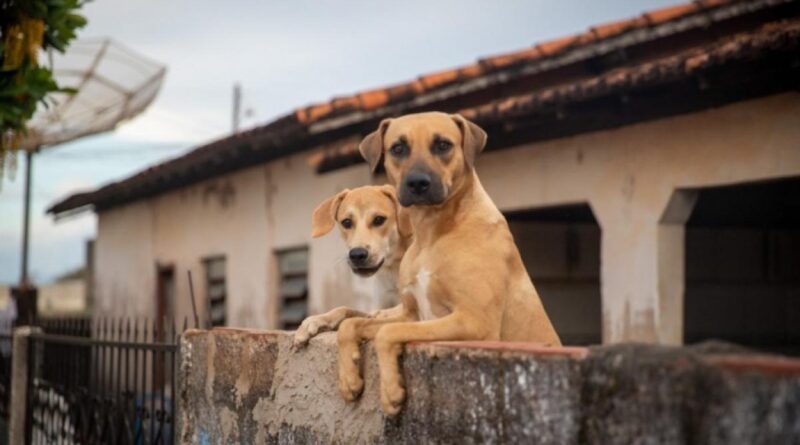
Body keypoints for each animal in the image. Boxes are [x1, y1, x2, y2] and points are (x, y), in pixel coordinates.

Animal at [336, 112, 561, 415]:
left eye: (443, 145)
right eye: (398, 148)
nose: (418, 183)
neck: (431, 232)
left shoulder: (474, 321)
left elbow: (386, 331)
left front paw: (391, 390)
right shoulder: (411, 313)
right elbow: (351, 325)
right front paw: (349, 378)